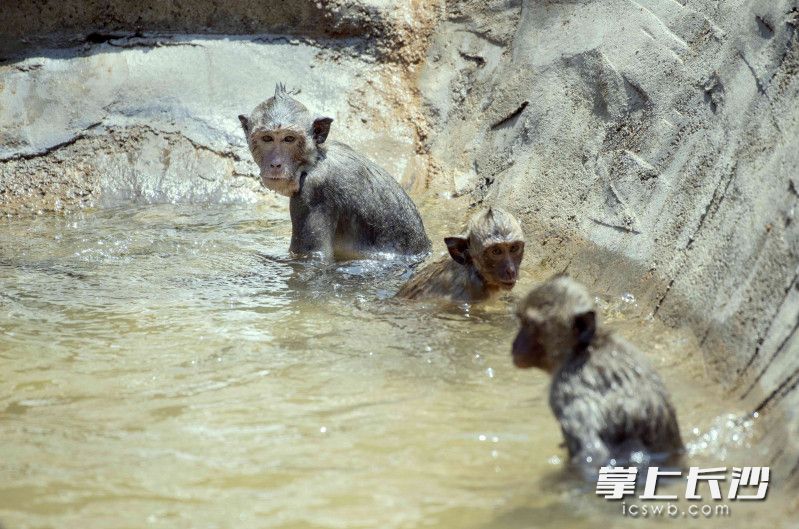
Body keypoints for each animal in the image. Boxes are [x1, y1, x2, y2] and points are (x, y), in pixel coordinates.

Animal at [239, 83, 432, 262]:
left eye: (289, 139)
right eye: (267, 138)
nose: (276, 164)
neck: (314, 162)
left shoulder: (313, 194)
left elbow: (313, 257)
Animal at [512, 276, 680, 466]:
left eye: (530, 324)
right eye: (522, 321)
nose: (515, 344)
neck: (584, 349)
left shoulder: (566, 388)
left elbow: (593, 453)